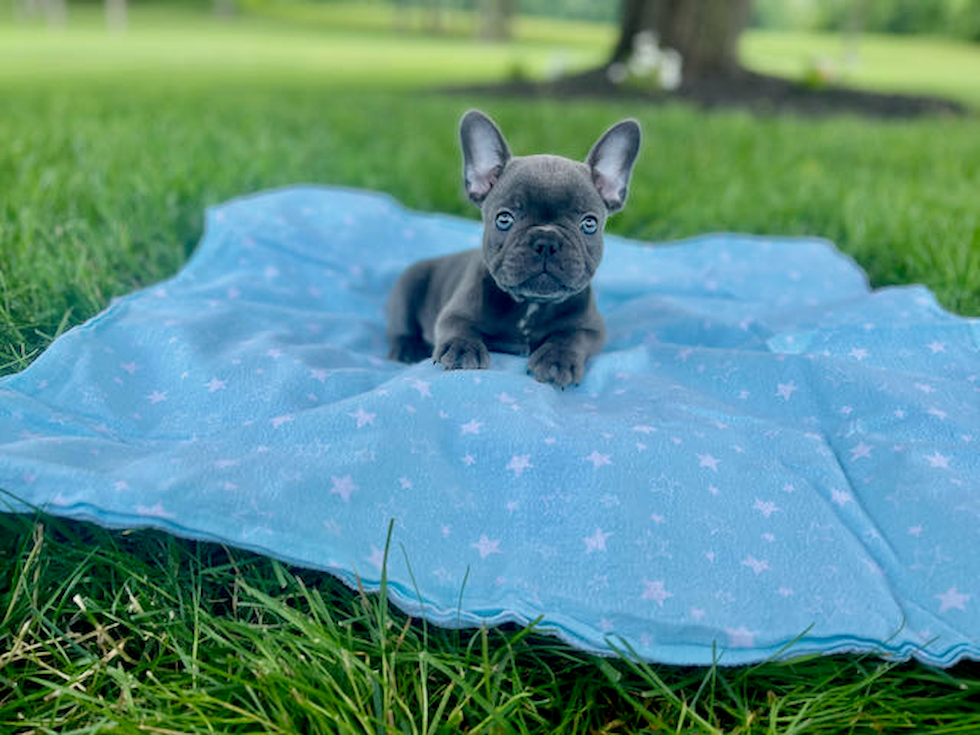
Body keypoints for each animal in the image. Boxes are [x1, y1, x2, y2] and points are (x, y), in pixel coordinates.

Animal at [386, 110, 640, 386]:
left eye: (589, 224)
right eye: (504, 219)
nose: (546, 240)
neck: (530, 305)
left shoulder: (591, 328)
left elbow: (571, 336)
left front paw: (557, 359)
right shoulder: (454, 312)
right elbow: (458, 326)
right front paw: (462, 348)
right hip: (409, 284)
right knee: (401, 325)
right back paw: (408, 348)